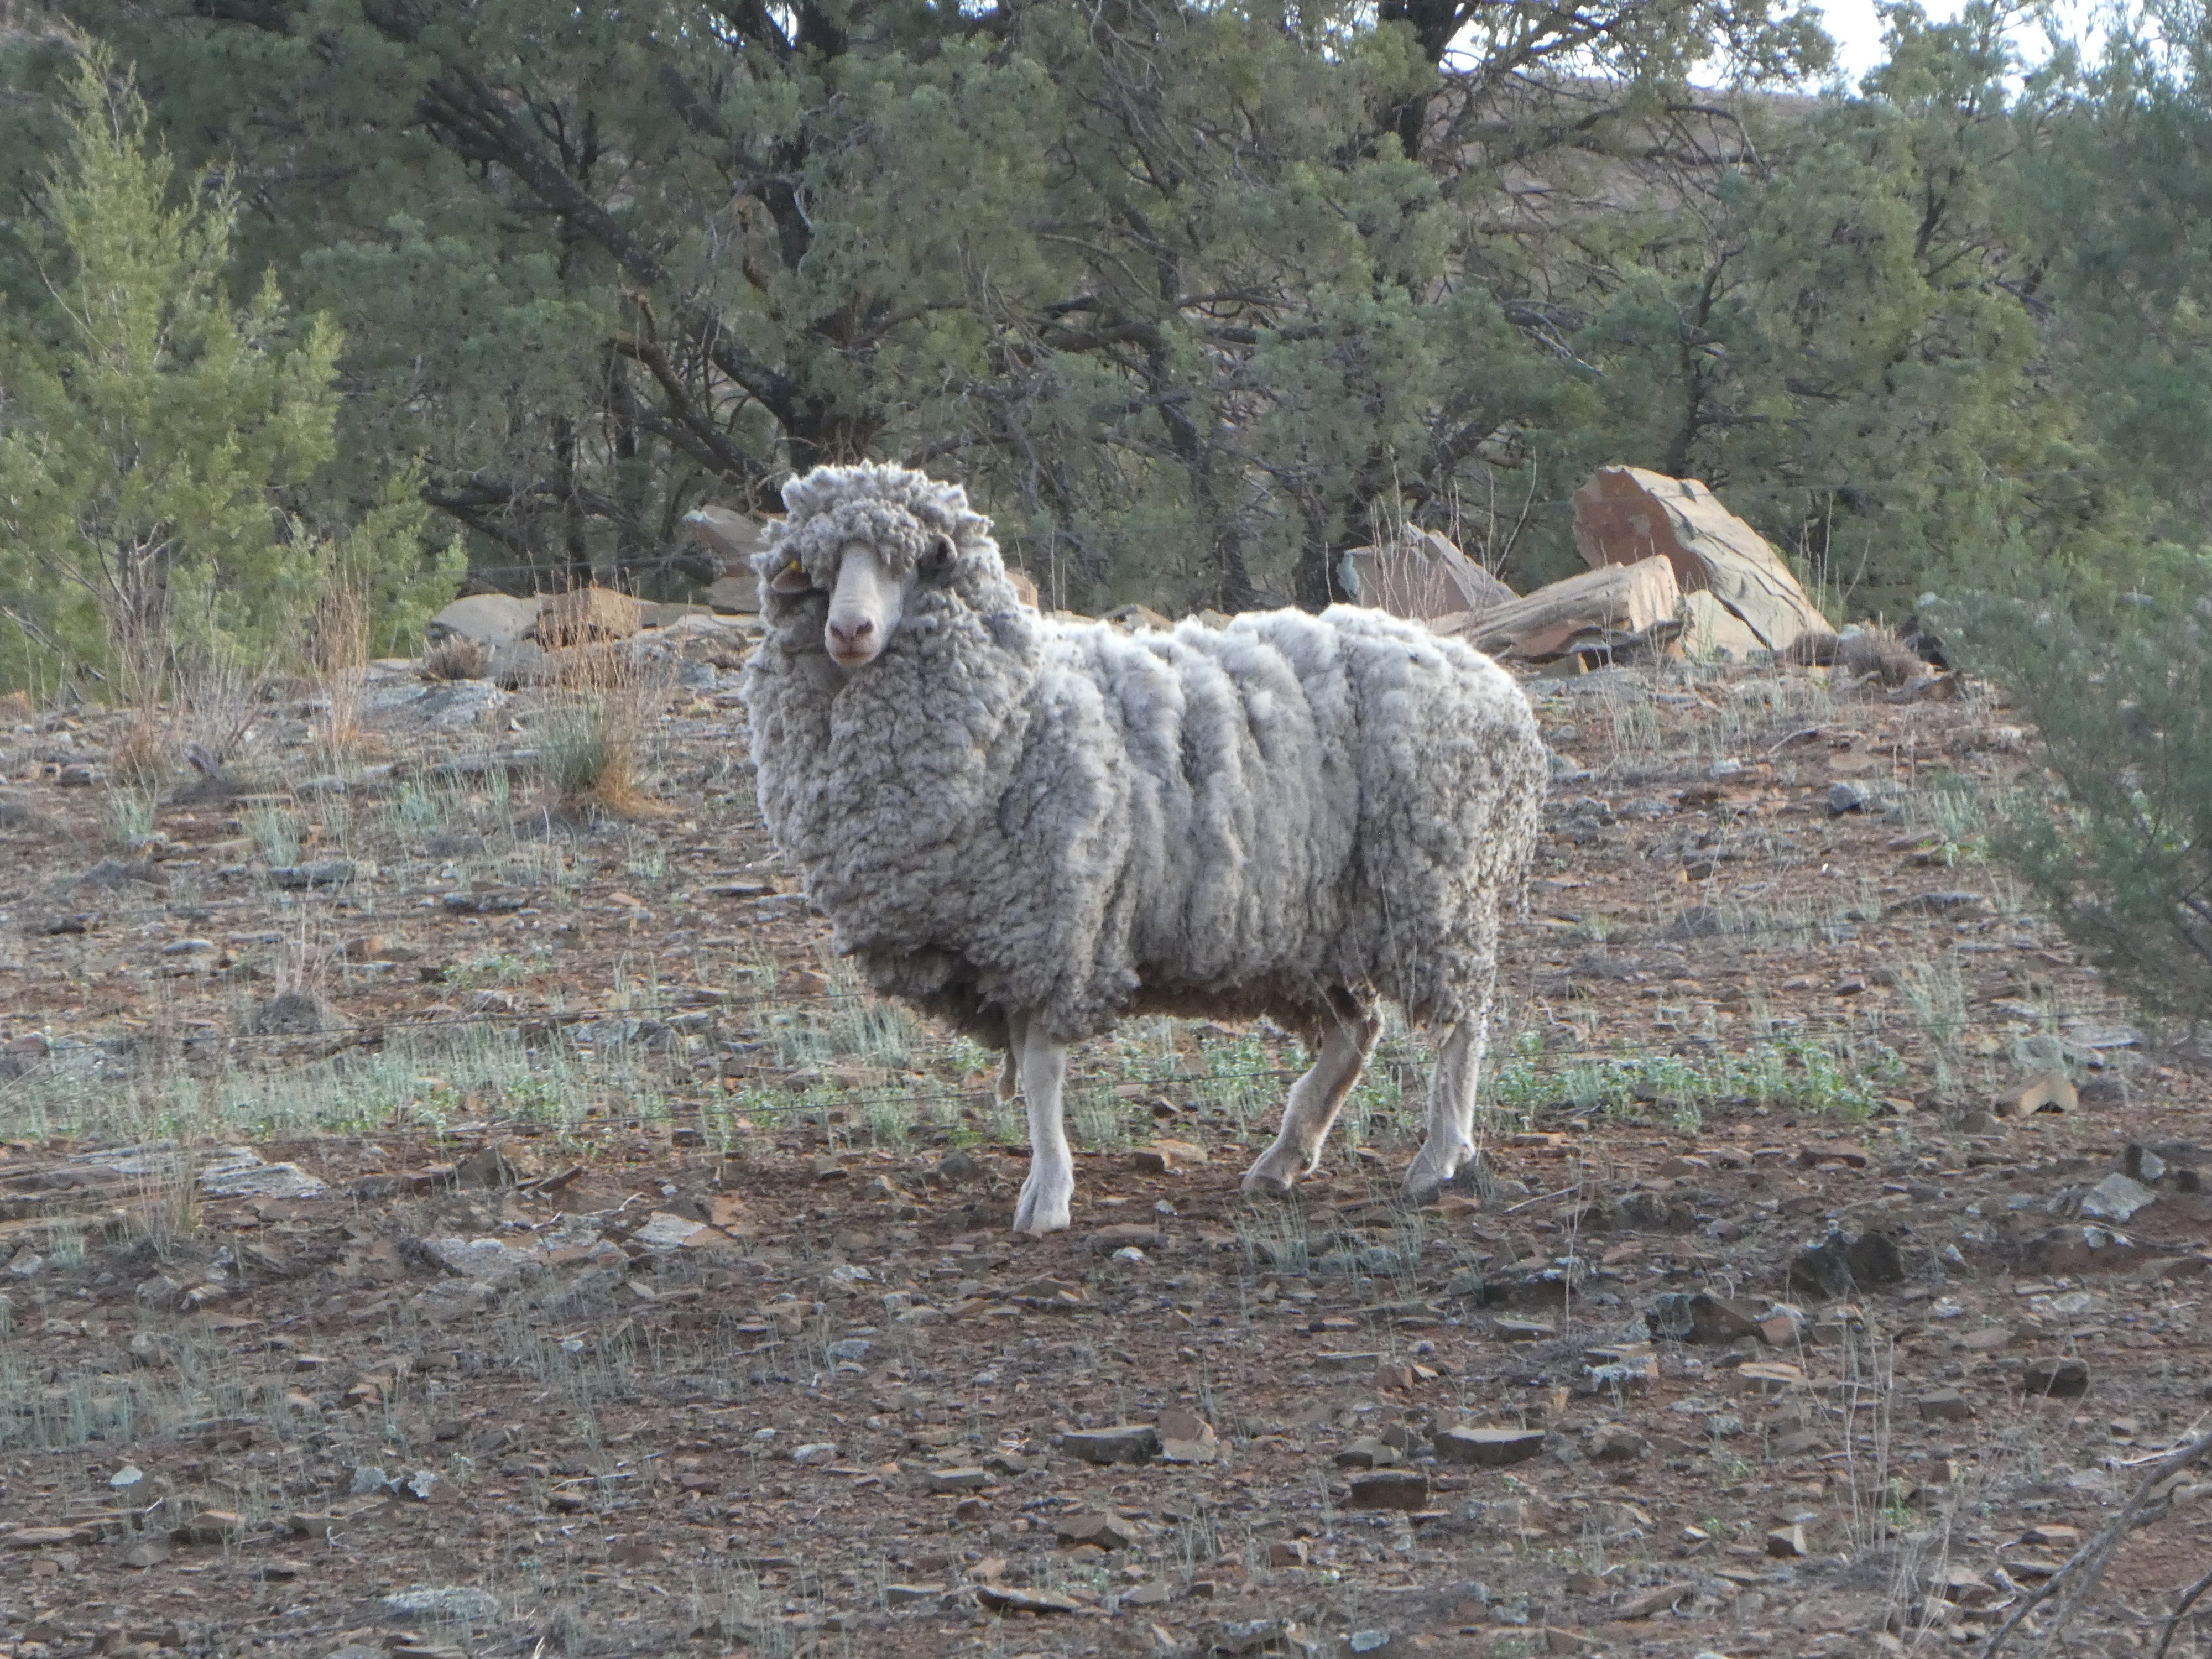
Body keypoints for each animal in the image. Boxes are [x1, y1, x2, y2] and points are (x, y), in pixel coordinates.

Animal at [742, 462, 1547, 1237]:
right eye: (818, 569)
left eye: (909, 564)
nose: (849, 629)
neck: (1019, 702)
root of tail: (1491, 680)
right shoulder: (1009, 938)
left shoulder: (1060, 923)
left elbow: (1040, 1071)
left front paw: (1048, 1197)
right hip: (1321, 920)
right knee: (1357, 1032)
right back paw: (1284, 1159)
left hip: (1437, 888)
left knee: (1462, 1028)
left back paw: (1438, 1159)